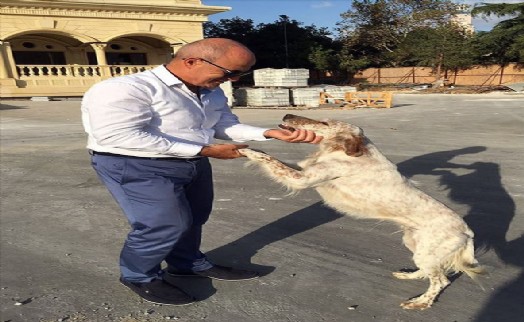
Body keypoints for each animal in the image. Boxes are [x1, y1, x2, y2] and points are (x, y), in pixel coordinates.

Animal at [239, 114, 486, 310]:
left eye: (324, 122)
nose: (287, 114)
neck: (344, 151)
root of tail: (467, 231)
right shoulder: (304, 171)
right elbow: (275, 159)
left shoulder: (302, 178)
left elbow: (268, 158)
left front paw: (246, 149)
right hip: (415, 244)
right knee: (430, 272)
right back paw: (408, 275)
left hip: (427, 251)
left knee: (440, 281)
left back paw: (420, 303)